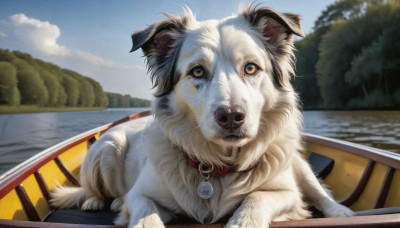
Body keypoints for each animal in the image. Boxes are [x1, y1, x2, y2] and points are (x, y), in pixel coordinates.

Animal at [50, 4, 354, 227]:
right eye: (197, 71)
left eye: (251, 68)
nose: (231, 116)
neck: (217, 168)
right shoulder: (141, 194)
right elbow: (145, 212)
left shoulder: (287, 194)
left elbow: (257, 197)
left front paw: (243, 220)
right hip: (108, 147)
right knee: (93, 189)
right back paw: (98, 201)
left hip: (297, 163)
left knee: (317, 190)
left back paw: (341, 212)